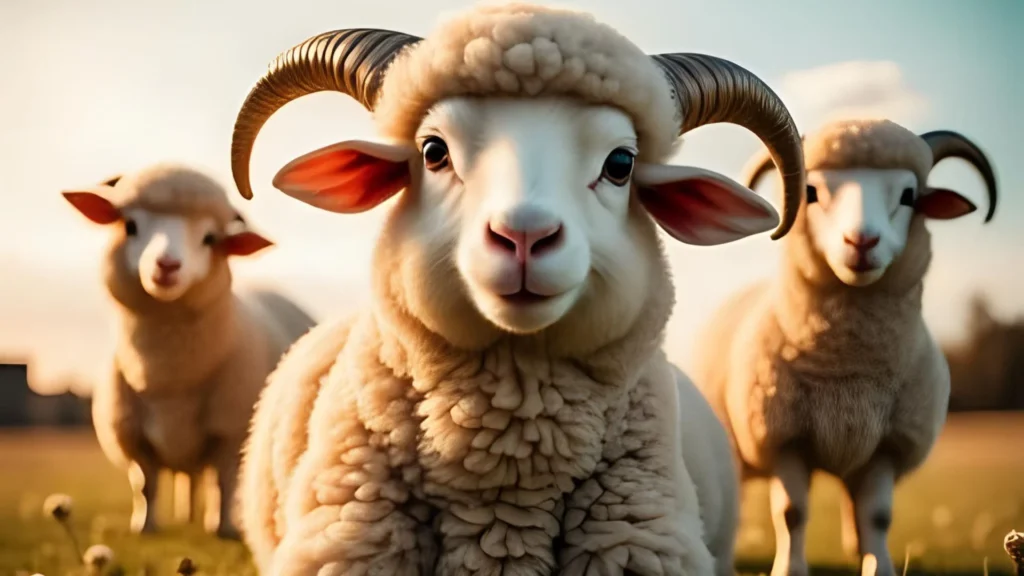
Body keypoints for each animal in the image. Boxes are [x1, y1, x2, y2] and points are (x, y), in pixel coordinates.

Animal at [61, 163, 317, 539]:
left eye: (210, 239)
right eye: (130, 225)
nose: (167, 265)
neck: (168, 375)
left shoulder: (231, 433)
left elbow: (224, 484)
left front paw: (223, 528)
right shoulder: (132, 439)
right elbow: (146, 486)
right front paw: (145, 527)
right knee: (189, 479)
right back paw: (186, 515)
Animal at [690, 118, 998, 576]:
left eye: (910, 197)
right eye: (811, 192)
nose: (862, 242)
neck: (849, 367)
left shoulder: (887, 446)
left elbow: (878, 516)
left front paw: (878, 567)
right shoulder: (785, 440)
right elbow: (792, 514)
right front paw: (790, 570)